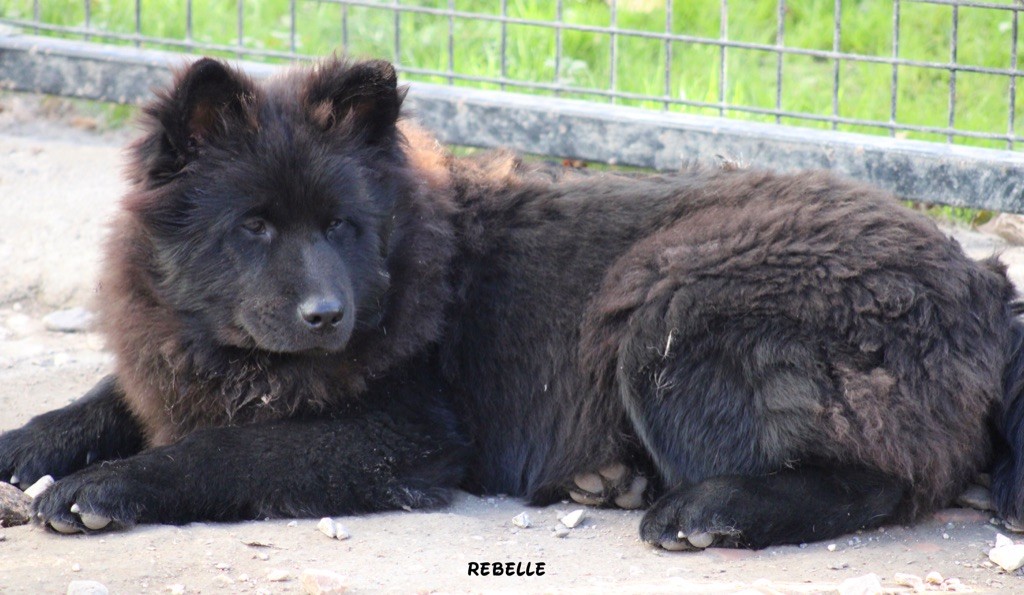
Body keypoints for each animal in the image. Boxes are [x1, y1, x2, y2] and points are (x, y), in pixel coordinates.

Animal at [2, 58, 1024, 548]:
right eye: (254, 226)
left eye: (342, 226)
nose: (328, 317)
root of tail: (978, 279)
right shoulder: (167, 365)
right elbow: (98, 403)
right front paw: (26, 447)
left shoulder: (402, 434)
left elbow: (226, 450)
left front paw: (108, 487)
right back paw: (612, 480)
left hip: (666, 304)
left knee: (882, 481)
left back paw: (707, 509)